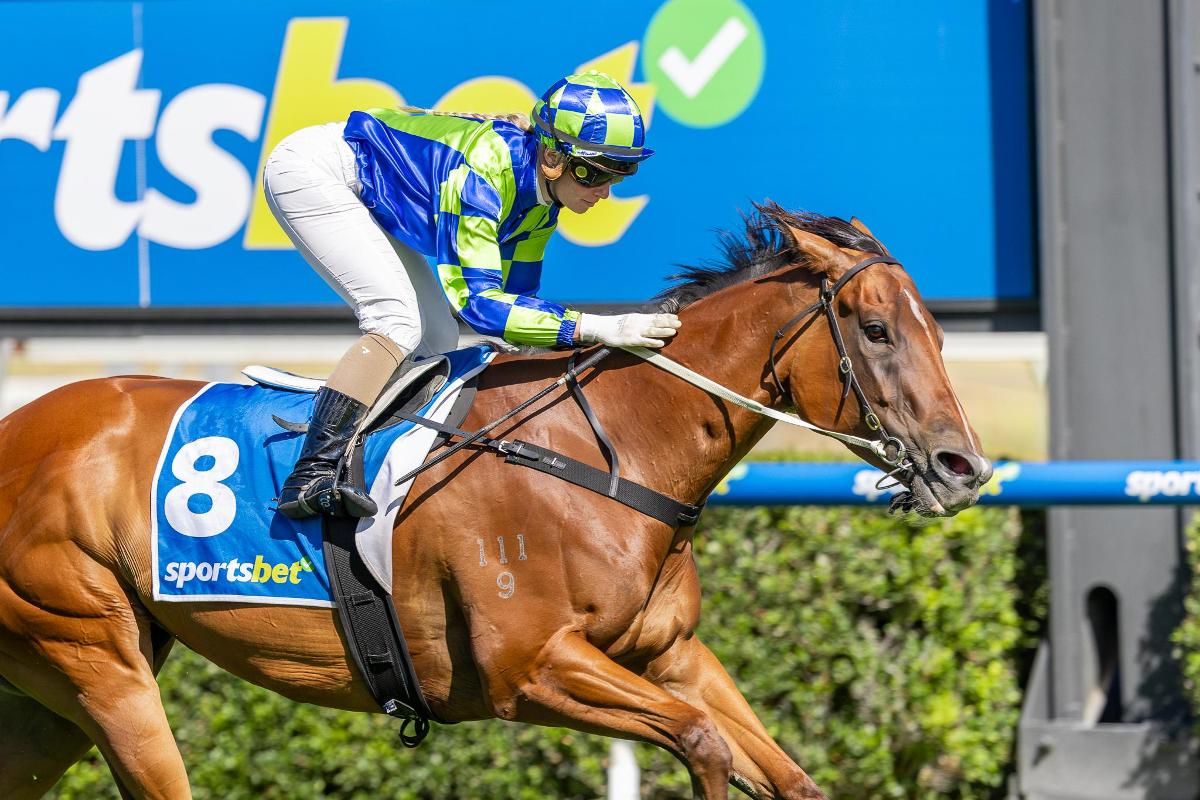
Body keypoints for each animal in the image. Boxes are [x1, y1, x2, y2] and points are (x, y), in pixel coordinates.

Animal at [0, 205, 990, 800]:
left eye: (943, 335)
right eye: (876, 330)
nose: (963, 466)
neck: (612, 451)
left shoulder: (668, 654)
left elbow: (780, 770)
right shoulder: (530, 669)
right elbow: (703, 741)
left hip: (49, 702)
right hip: (92, 651)